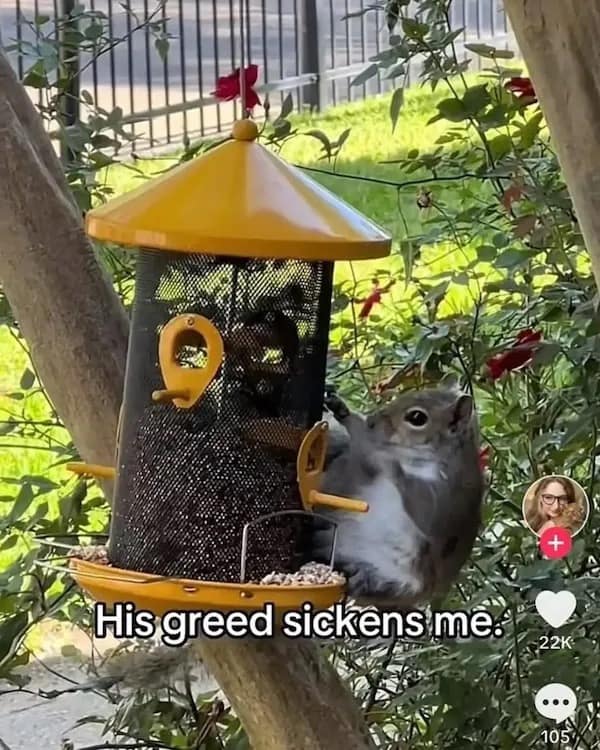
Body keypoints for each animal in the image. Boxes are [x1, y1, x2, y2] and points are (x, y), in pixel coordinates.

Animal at [313, 385, 485, 611]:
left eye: (417, 417)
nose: (372, 422)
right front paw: (346, 414)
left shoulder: (448, 499)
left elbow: (423, 508)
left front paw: (378, 450)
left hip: (399, 583)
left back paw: (357, 577)